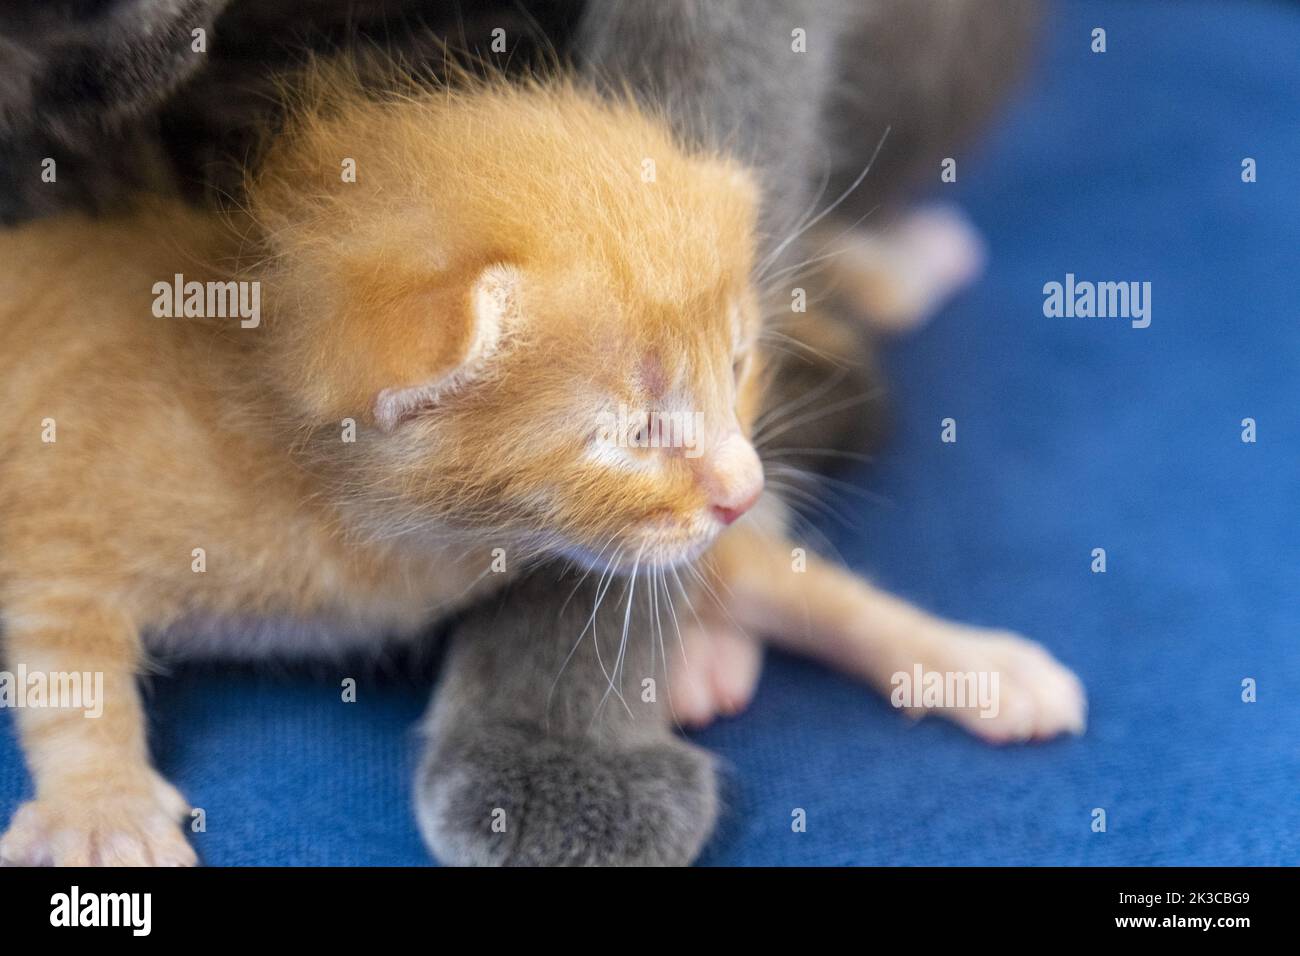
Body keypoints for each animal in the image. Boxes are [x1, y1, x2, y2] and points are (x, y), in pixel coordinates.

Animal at [0, 72, 1076, 868]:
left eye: (737, 366)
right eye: (635, 433)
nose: (746, 491)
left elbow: (808, 590)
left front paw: (970, 662)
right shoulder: (51, 504)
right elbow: (64, 655)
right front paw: (100, 805)